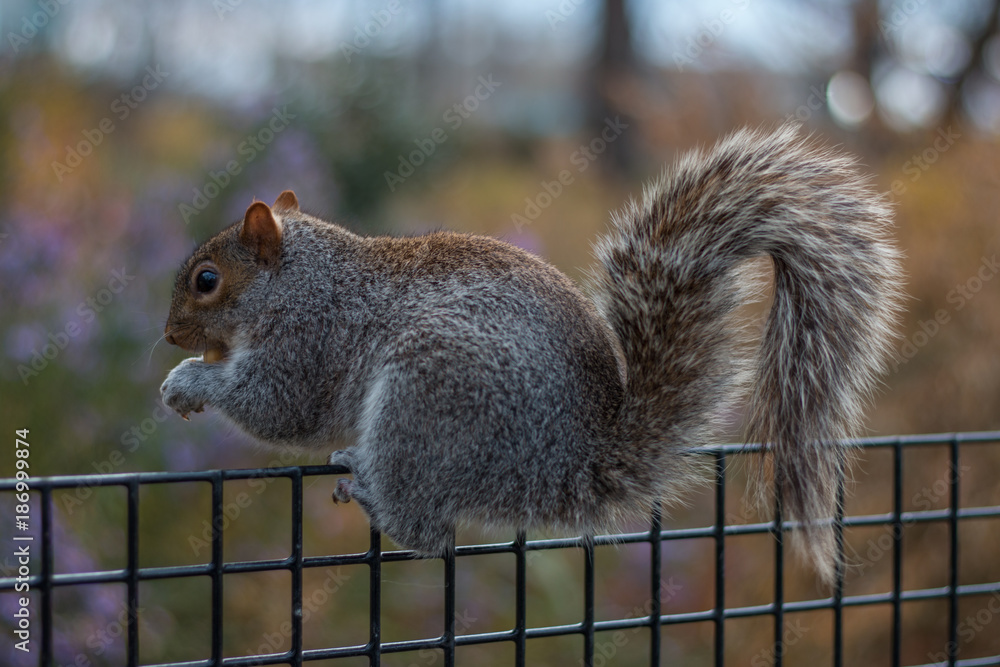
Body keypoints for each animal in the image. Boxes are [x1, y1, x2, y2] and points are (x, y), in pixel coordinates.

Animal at [161, 124, 903, 582]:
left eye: (207, 280)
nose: (168, 335)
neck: (304, 277)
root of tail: (570, 462)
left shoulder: (309, 340)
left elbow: (278, 406)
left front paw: (190, 382)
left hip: (429, 393)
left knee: (431, 533)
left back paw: (375, 492)